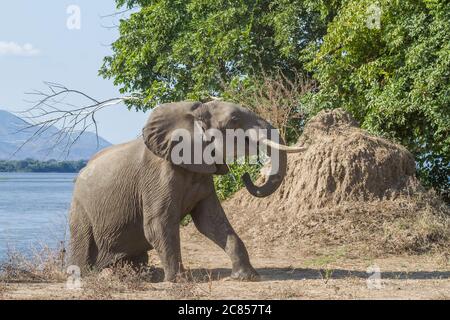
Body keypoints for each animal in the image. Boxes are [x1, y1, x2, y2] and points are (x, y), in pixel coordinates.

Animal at [68, 99, 304, 280]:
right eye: (235, 119)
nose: (246, 175)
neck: (193, 115)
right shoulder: (158, 174)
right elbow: (159, 222)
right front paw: (179, 280)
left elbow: (212, 221)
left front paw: (246, 277)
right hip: (80, 211)